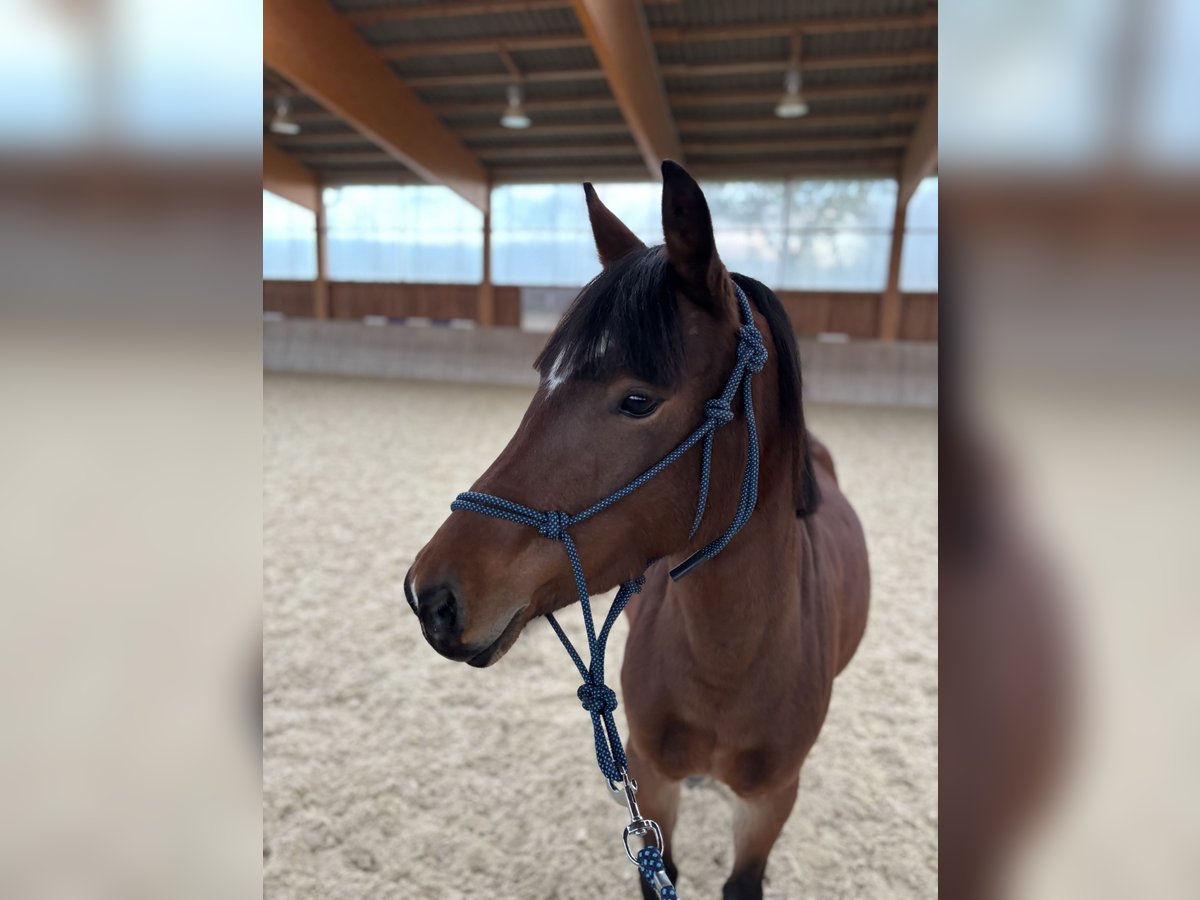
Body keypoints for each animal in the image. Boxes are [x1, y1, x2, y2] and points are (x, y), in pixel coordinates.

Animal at [405, 161, 870, 899]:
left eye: (636, 400)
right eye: (543, 379)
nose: (433, 595)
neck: (729, 661)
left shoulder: (770, 804)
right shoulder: (650, 782)